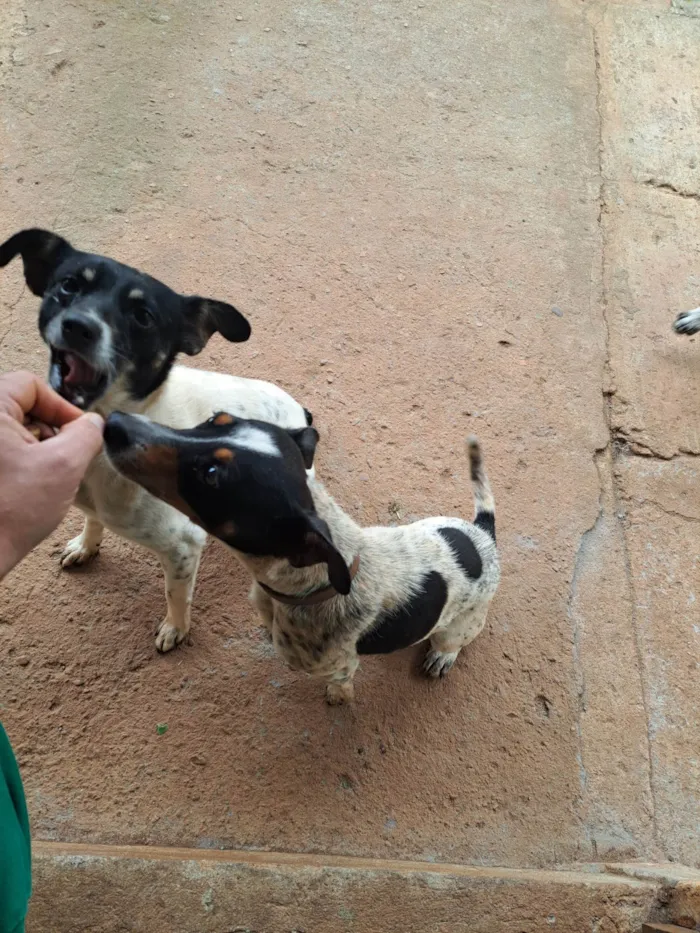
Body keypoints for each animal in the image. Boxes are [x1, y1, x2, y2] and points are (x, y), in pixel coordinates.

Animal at [0, 228, 312, 648]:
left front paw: (175, 628)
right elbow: (92, 521)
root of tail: (299, 415)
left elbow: (175, 594)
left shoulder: (183, 548)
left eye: (143, 316)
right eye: (69, 285)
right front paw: (86, 545)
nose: (78, 326)